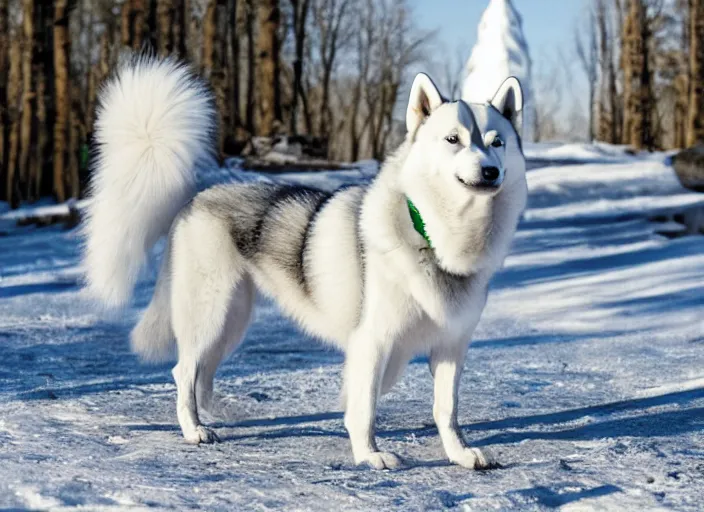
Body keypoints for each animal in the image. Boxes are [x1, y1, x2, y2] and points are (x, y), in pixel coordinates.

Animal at [82, 55, 524, 468]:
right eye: (453, 139)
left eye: (497, 142)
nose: (490, 171)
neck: (432, 236)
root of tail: (200, 191)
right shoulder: (373, 342)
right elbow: (365, 408)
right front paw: (369, 455)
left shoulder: (451, 347)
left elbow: (445, 410)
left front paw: (460, 454)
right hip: (209, 314)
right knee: (184, 371)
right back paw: (193, 430)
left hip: (233, 320)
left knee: (202, 372)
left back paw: (211, 414)